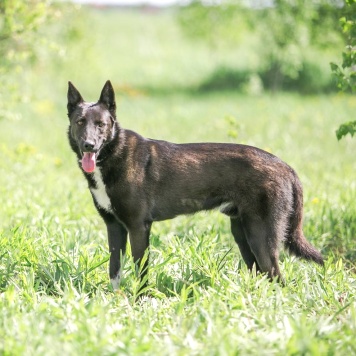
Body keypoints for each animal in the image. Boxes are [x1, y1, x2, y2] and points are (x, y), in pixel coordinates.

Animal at [66, 80, 322, 290]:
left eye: (101, 124)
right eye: (80, 122)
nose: (89, 145)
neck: (112, 154)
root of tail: (286, 167)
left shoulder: (139, 227)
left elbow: (141, 272)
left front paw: (139, 301)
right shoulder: (114, 226)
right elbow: (114, 270)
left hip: (260, 236)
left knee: (277, 277)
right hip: (243, 234)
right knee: (262, 274)